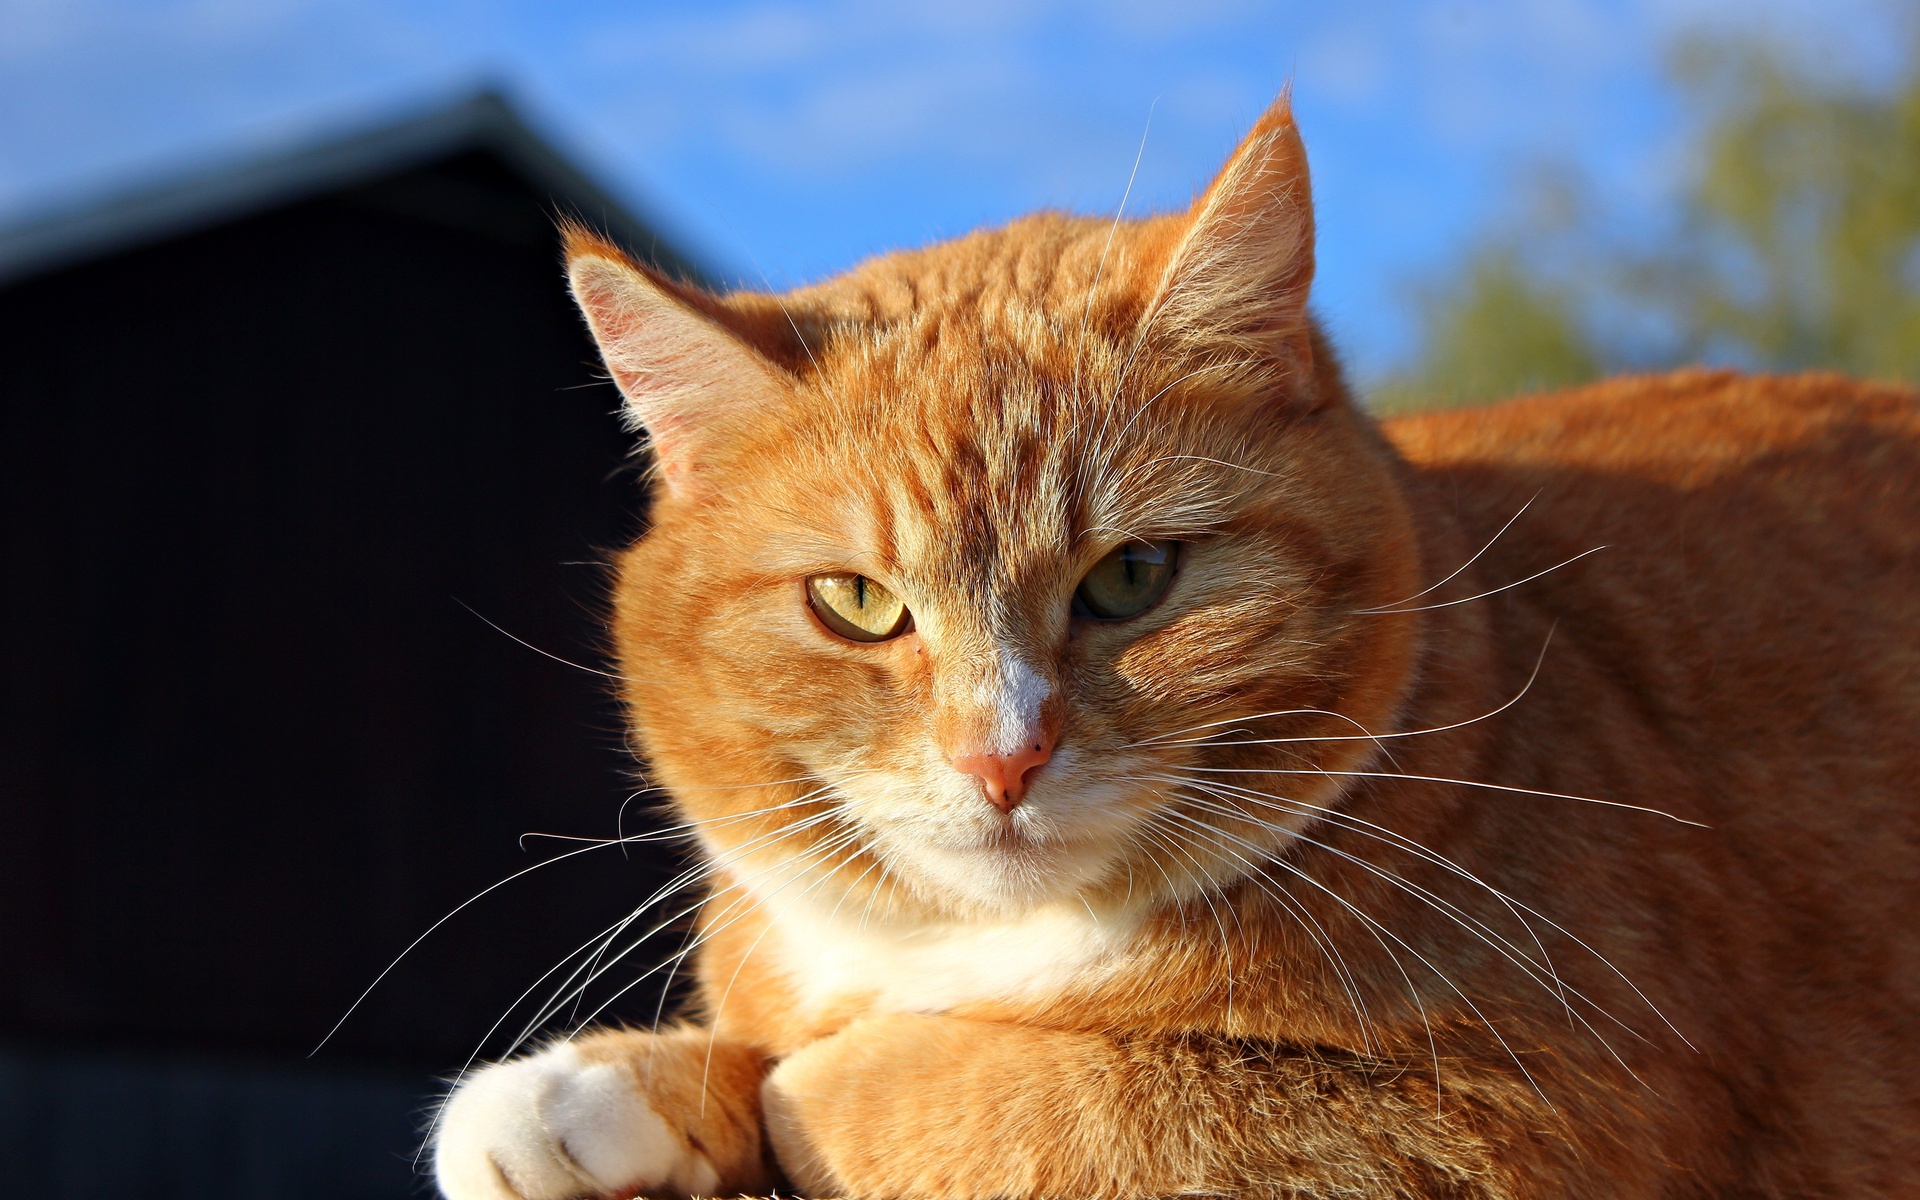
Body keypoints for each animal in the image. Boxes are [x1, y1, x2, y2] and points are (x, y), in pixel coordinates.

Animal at [432, 96, 1920, 1198]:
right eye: (856, 601)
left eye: (1132, 580)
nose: (1002, 759)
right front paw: (599, 1094)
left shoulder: (1524, 1107)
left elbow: (974, 1093)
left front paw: (787, 1086)